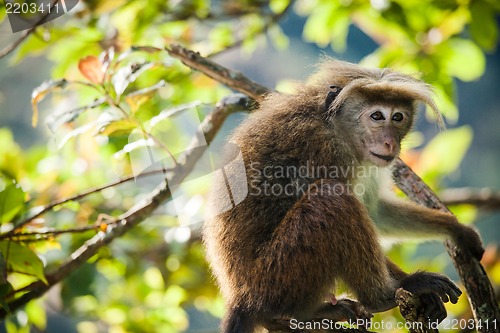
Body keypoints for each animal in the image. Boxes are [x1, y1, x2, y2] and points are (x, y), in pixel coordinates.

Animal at [200, 59, 484, 332]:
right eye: (377, 116)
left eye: (398, 117)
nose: (390, 143)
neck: (335, 127)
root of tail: (241, 299)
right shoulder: (324, 151)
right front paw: (408, 284)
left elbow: (375, 213)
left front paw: (456, 230)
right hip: (275, 278)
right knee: (330, 197)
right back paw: (383, 296)